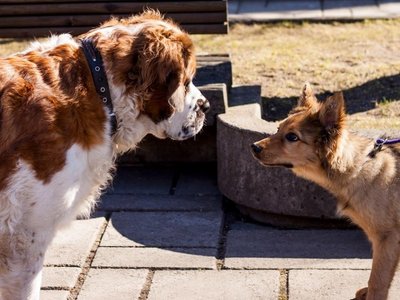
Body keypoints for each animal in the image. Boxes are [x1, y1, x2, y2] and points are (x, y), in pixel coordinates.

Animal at [253, 83, 400, 300]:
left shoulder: (387, 238)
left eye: (292, 137)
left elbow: (378, 280)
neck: (359, 166)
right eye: (278, 129)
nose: (253, 147)